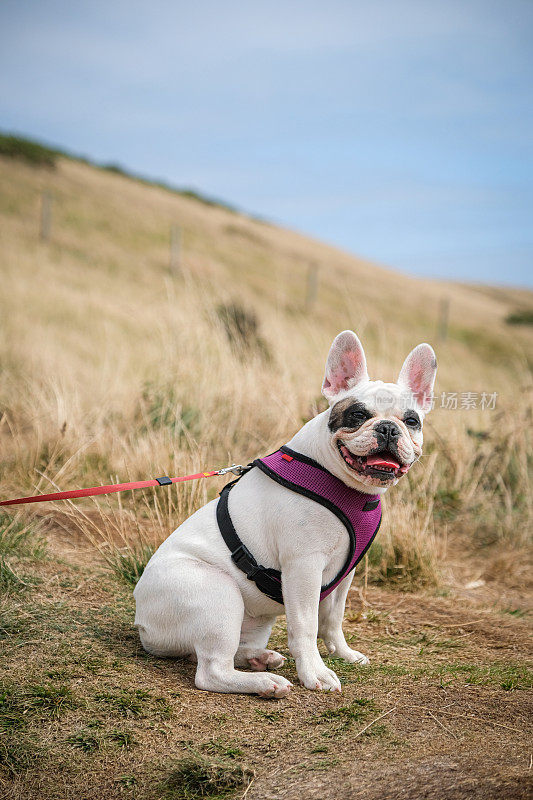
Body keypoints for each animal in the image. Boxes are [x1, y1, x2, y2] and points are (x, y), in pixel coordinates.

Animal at [134, 330, 436, 692]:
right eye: (358, 416)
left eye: (412, 421)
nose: (389, 428)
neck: (350, 489)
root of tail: (142, 624)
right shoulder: (303, 567)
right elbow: (305, 625)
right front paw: (315, 672)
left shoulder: (345, 573)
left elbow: (333, 619)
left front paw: (343, 654)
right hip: (218, 595)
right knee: (211, 670)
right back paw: (265, 682)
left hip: (251, 621)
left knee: (217, 651)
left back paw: (259, 659)